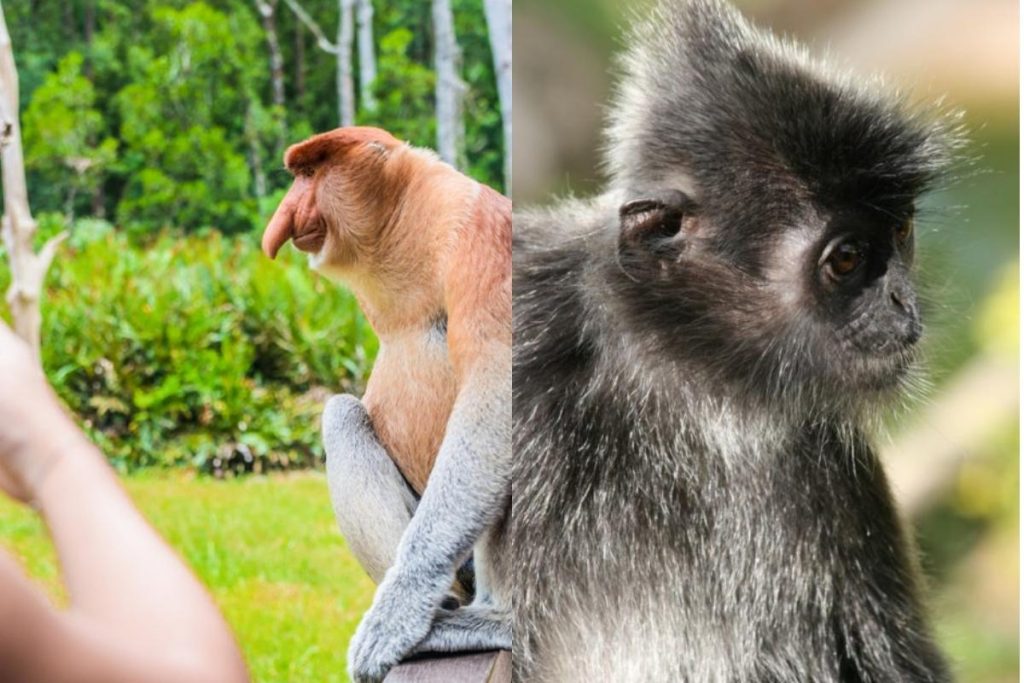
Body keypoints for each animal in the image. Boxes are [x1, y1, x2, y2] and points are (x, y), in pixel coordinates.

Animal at [262, 126, 512, 682]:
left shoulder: (482, 233)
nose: (283, 216)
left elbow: (495, 386)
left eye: (309, 173)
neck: (400, 222)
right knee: (341, 416)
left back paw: (486, 618)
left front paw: (393, 622)